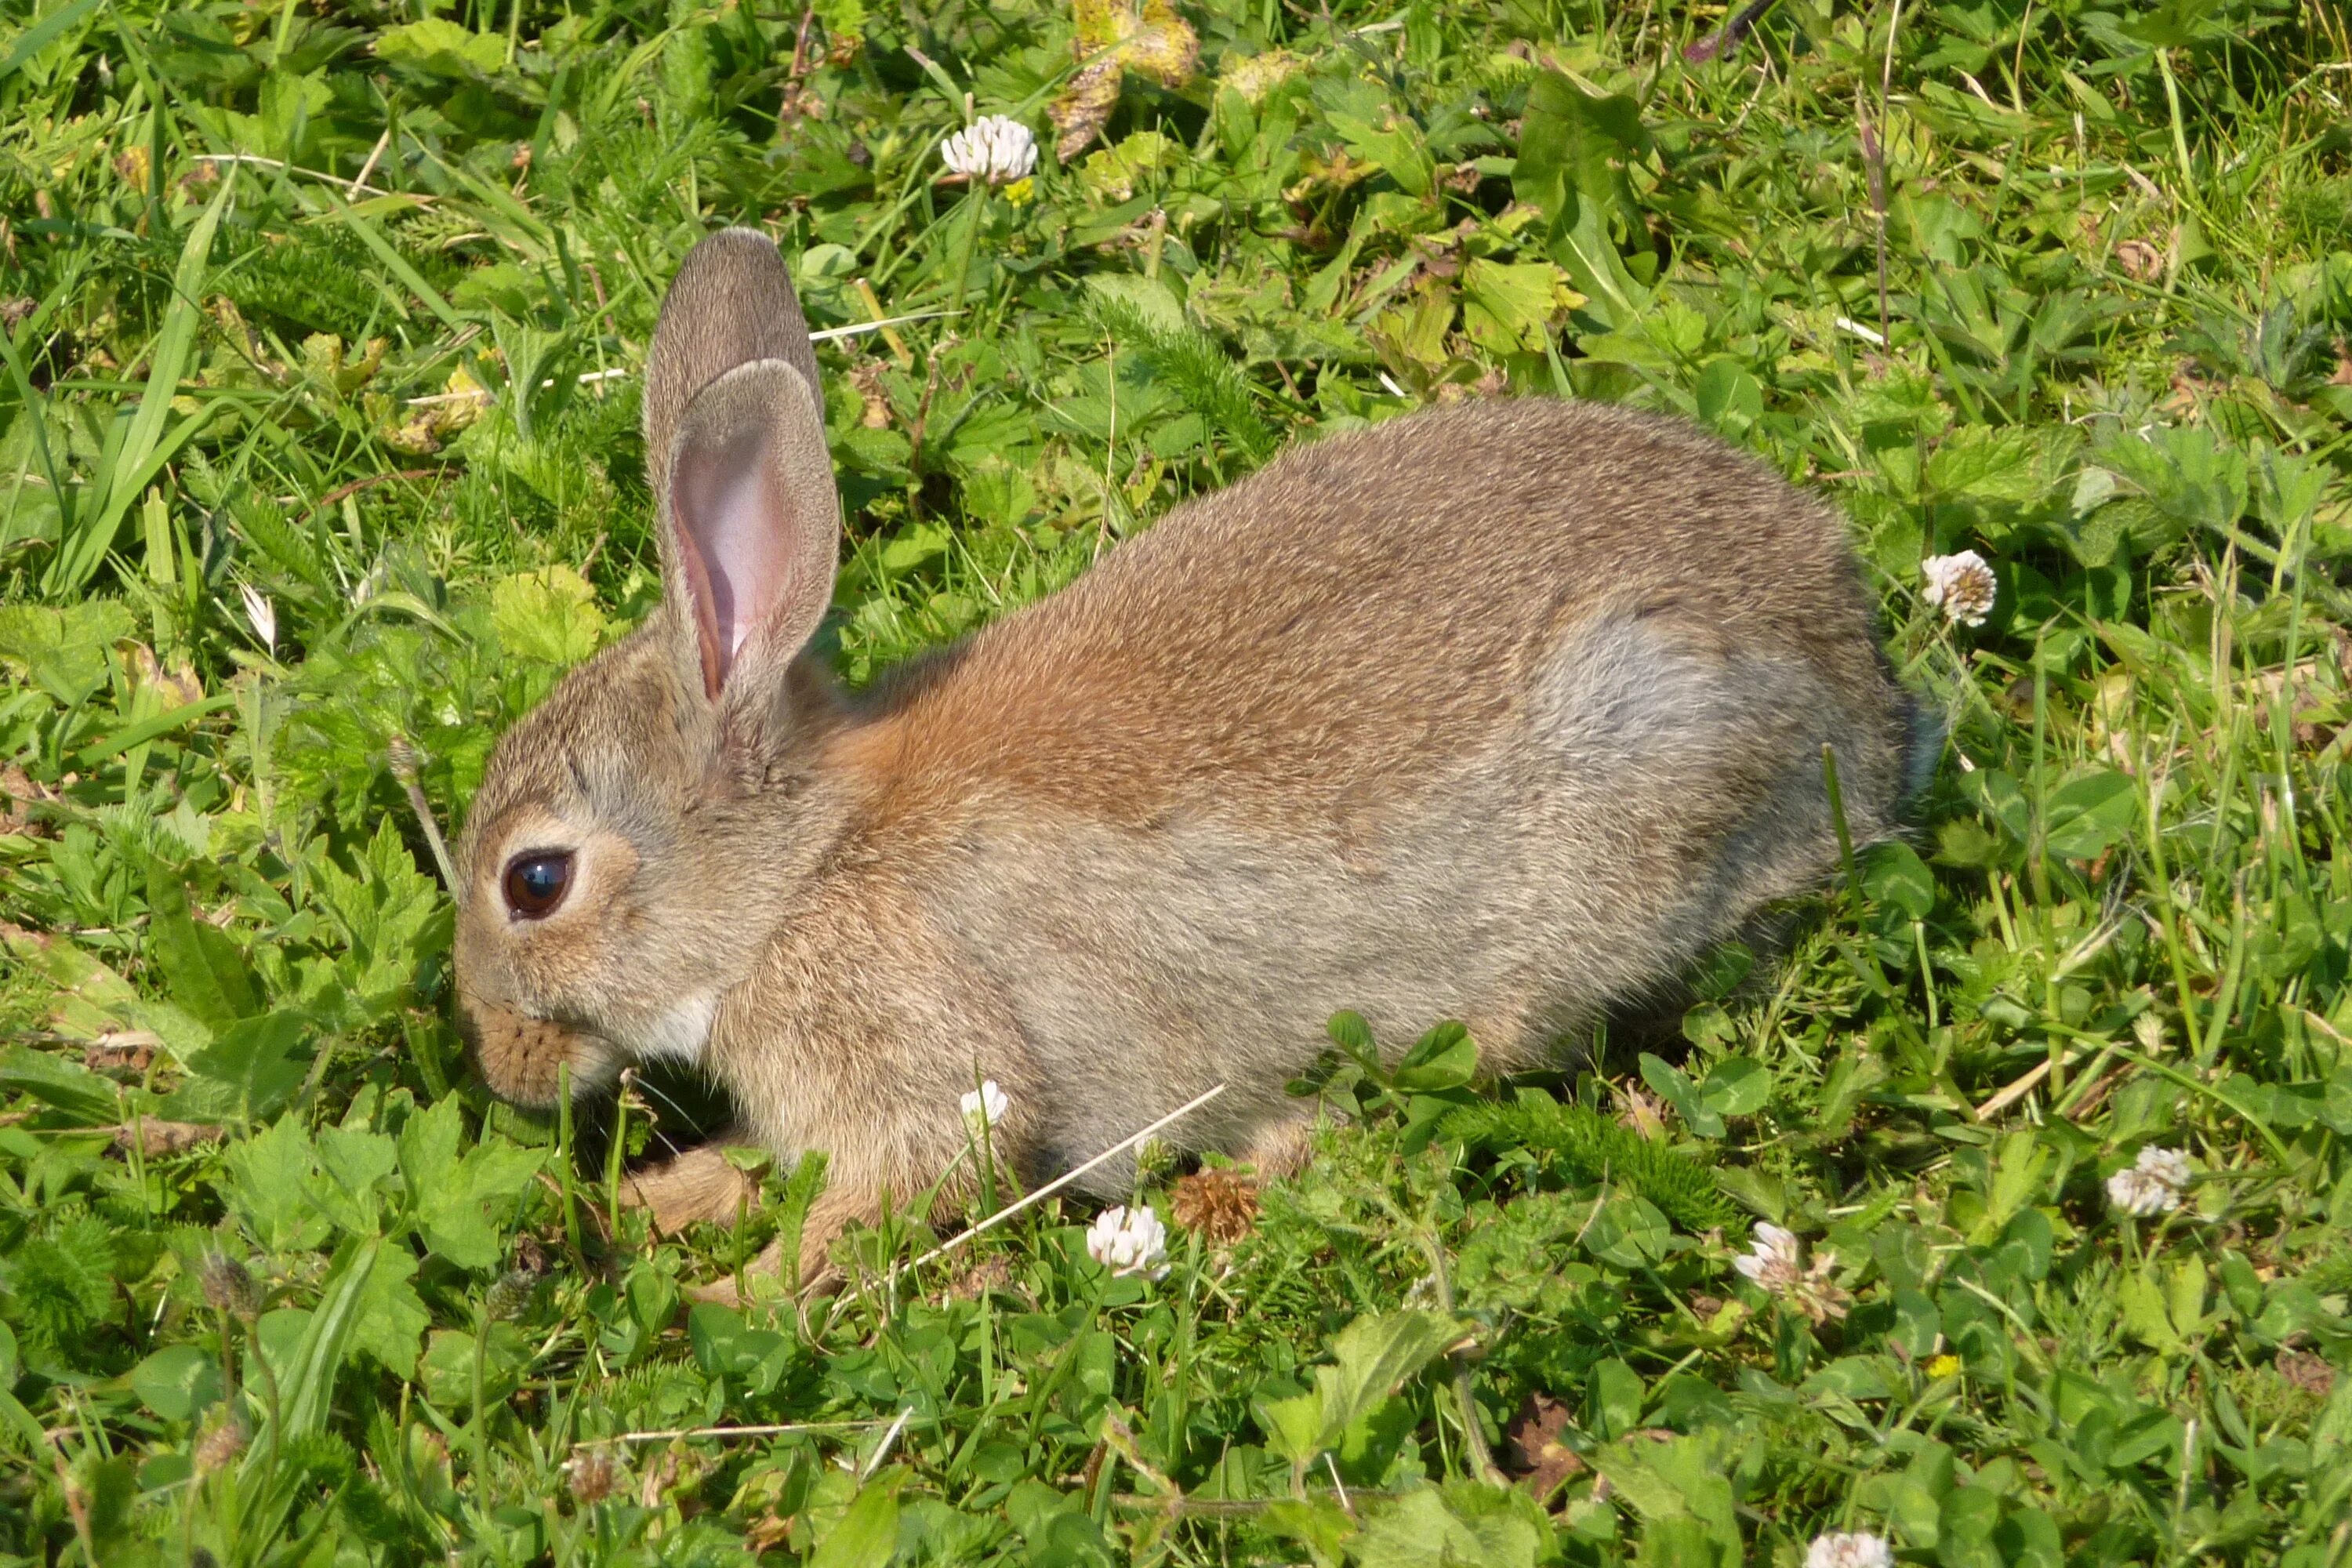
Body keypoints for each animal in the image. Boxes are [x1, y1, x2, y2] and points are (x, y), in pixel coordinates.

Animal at [445, 227, 1929, 1298]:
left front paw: (712, 1306)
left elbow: (881, 1200)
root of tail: (1855, 673)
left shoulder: (923, 1063)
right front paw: (644, 1209)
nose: (502, 1071)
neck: (796, 877)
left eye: (536, 882)